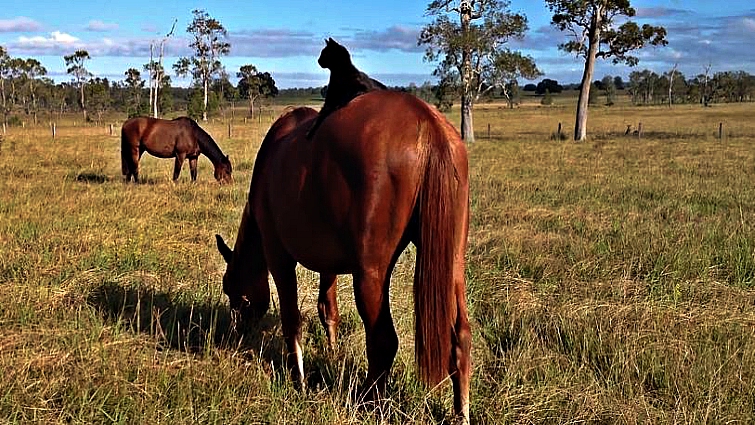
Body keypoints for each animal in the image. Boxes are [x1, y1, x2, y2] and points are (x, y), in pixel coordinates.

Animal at [215, 91, 471, 424]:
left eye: (233, 291)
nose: (235, 333)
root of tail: (427, 122)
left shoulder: (278, 256)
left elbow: (291, 319)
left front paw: (298, 380)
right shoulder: (329, 266)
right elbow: (328, 309)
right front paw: (332, 352)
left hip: (370, 275)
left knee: (383, 340)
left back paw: (368, 402)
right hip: (453, 264)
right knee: (461, 337)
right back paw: (461, 412)